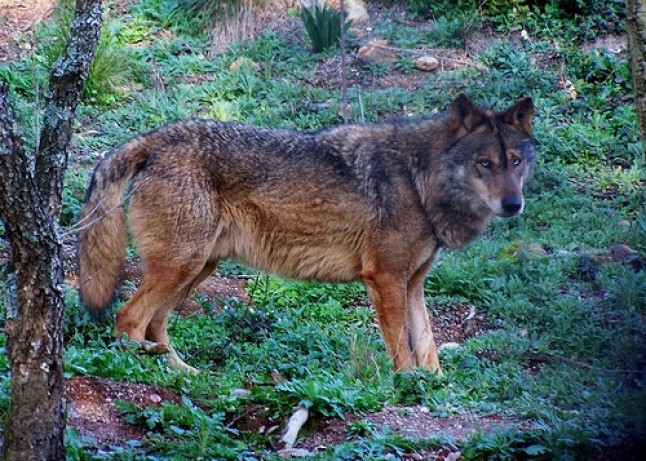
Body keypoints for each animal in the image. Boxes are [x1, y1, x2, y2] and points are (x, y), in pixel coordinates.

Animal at [78, 94, 535, 374]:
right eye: (484, 164)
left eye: (515, 161)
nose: (513, 205)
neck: (418, 180)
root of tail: (157, 137)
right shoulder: (385, 278)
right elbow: (403, 350)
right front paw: (406, 388)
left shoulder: (414, 283)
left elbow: (428, 345)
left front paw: (436, 389)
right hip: (181, 266)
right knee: (128, 318)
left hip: (197, 269)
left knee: (156, 325)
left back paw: (185, 374)